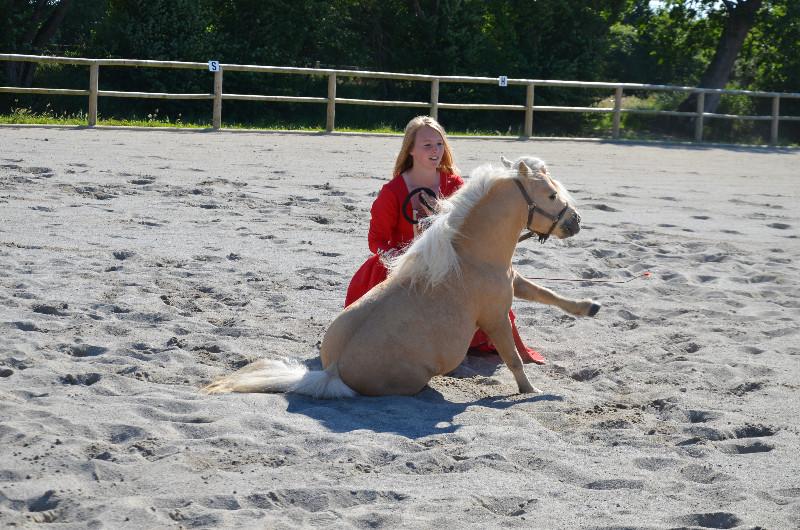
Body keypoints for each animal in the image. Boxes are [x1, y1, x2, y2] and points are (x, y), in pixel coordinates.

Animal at [205, 156, 600, 396]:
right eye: (551, 194)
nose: (576, 221)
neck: (471, 255)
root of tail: (333, 370)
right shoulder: (495, 316)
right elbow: (514, 357)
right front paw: (531, 391)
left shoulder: (511, 282)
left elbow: (549, 294)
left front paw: (590, 307)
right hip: (415, 378)